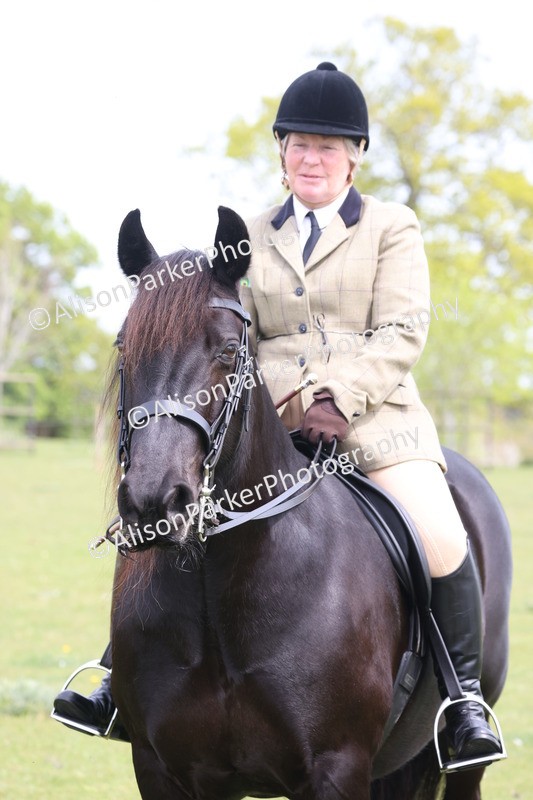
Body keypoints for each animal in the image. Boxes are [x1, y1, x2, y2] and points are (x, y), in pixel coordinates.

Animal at [106, 205, 512, 800]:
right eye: (124, 346)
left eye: (229, 350)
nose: (156, 501)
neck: (217, 588)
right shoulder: (161, 769)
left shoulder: (336, 767)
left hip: (463, 762)